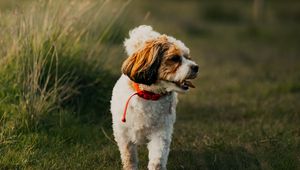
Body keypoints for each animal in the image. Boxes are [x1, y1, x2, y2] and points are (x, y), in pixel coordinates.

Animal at [110, 25, 199, 170]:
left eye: (188, 57)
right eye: (175, 58)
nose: (196, 67)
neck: (149, 95)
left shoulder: (161, 133)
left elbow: (157, 159)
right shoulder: (124, 134)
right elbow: (129, 157)